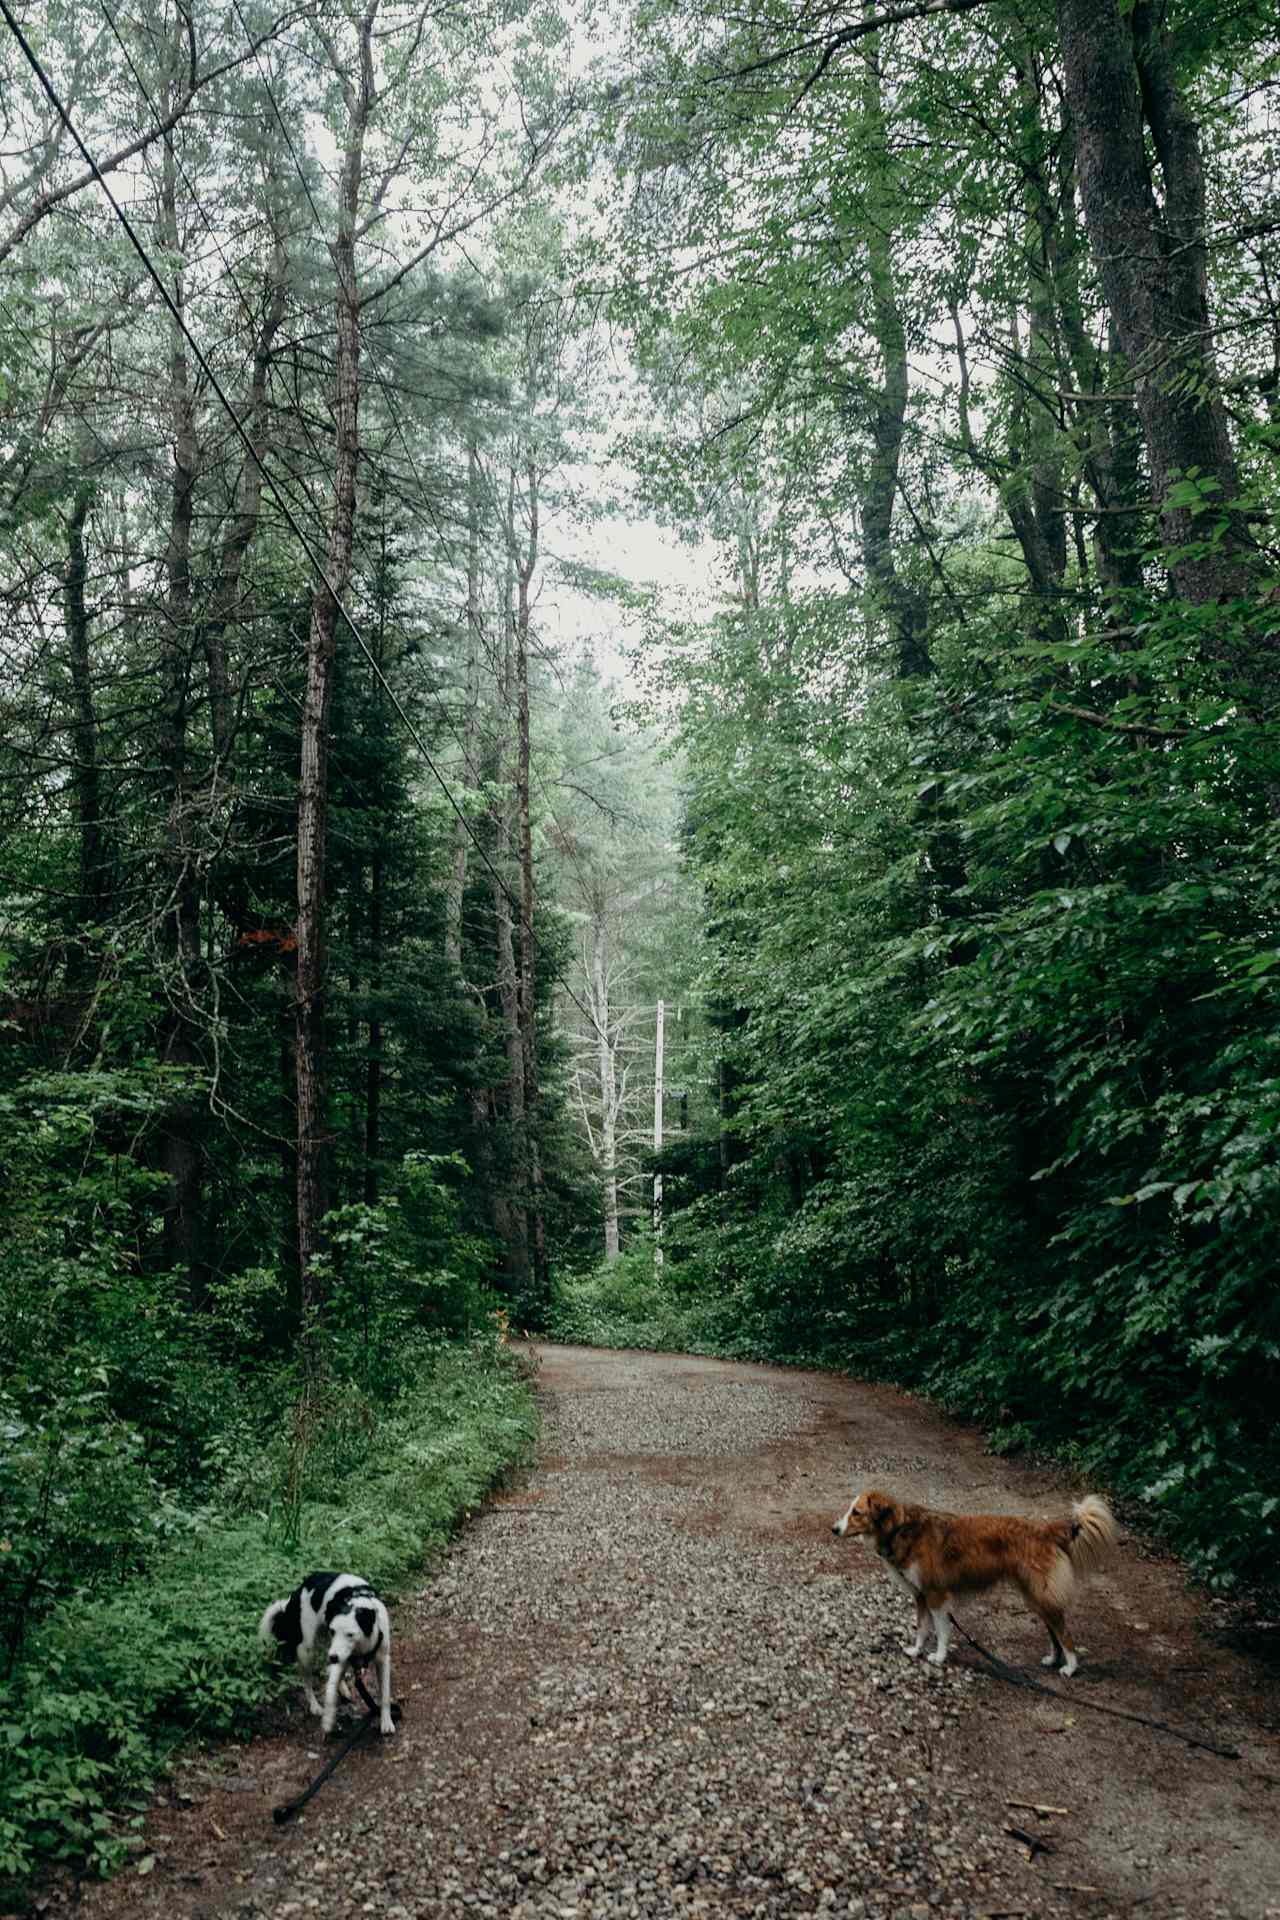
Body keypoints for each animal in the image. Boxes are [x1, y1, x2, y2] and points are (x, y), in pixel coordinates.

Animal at [259, 1574, 395, 1743]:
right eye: (334, 1631)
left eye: (350, 1634)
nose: (334, 1657)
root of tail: (300, 1588)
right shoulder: (337, 1654)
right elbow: (330, 1692)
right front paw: (328, 1720)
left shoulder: (382, 1659)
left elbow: (385, 1693)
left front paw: (386, 1722)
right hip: (308, 1650)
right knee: (307, 1681)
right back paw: (315, 1705)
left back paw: (342, 1687)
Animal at [836, 1489, 1113, 1674]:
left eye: (856, 1512)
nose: (834, 1529)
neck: (899, 1529)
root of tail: (1045, 1530)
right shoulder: (921, 1595)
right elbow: (922, 1628)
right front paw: (916, 1651)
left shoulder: (936, 1595)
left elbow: (941, 1630)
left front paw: (939, 1656)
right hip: (1034, 1596)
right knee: (1053, 1631)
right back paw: (1054, 1660)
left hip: (1041, 1595)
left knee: (1063, 1631)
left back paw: (1071, 1667)